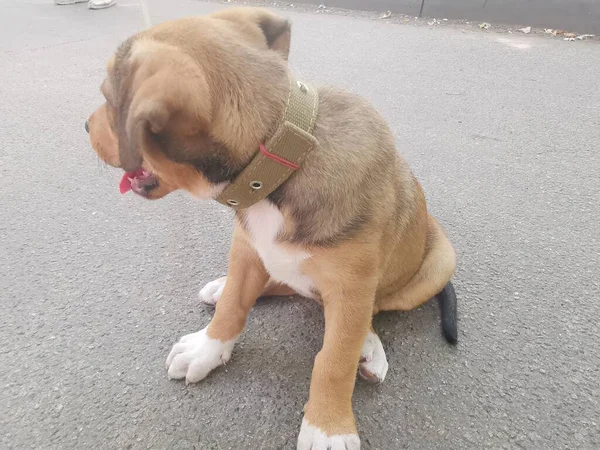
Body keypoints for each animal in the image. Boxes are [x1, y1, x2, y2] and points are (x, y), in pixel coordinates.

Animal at [86, 7, 458, 450]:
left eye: (109, 99)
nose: (84, 127)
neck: (280, 165)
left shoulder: (351, 286)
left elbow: (334, 360)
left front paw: (328, 425)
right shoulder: (246, 246)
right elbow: (233, 307)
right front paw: (207, 348)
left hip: (440, 262)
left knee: (369, 310)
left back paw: (368, 345)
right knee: (281, 284)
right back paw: (224, 286)